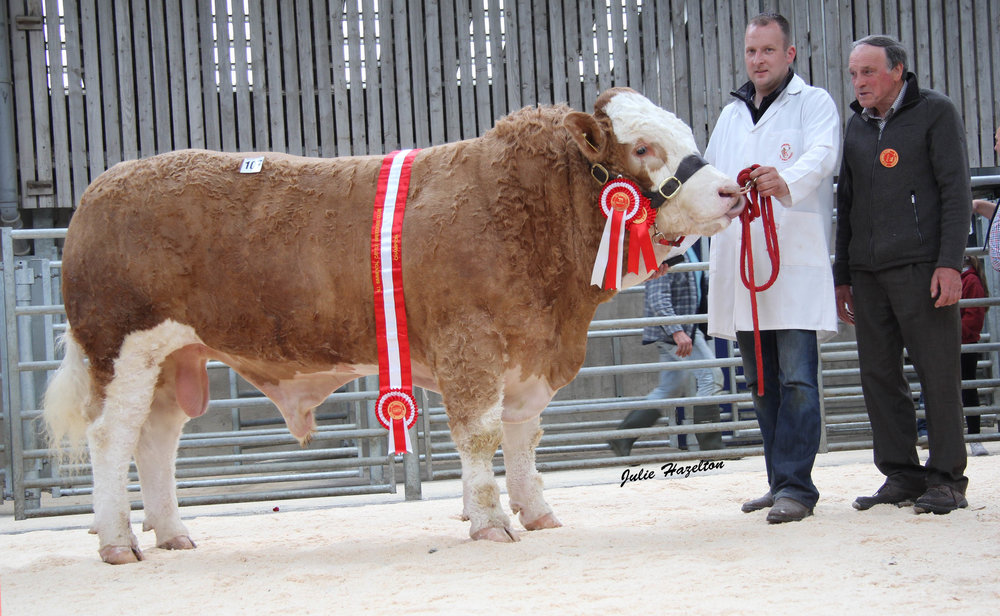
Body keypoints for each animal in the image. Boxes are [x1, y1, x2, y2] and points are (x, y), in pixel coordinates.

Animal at [43, 86, 740, 564]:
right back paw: (118, 542)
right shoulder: (471, 345)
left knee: (156, 441)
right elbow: (481, 436)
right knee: (111, 439)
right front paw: (490, 523)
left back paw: (172, 533)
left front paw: (536, 512)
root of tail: (98, 191)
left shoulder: (527, 355)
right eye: (643, 148)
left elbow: (524, 439)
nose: (732, 191)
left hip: (171, 360)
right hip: (122, 350)